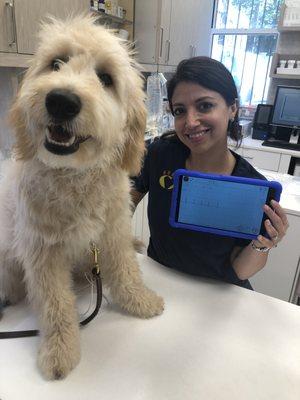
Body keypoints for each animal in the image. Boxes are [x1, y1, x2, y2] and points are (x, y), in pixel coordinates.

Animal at [0, 14, 164, 378]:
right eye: (55, 63)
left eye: (105, 78)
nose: (61, 100)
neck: (74, 176)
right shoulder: (42, 253)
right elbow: (56, 304)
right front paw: (60, 350)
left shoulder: (113, 230)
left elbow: (126, 269)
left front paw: (141, 301)